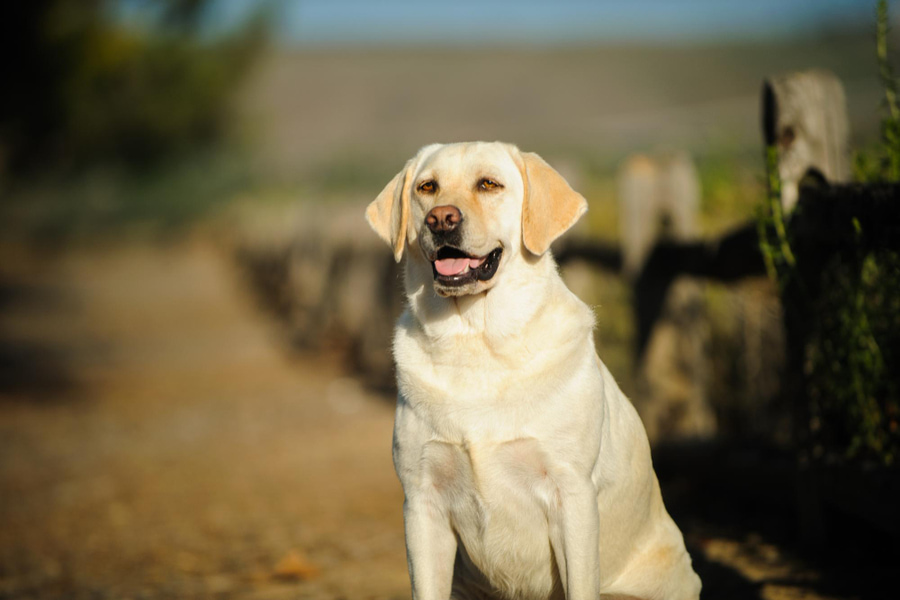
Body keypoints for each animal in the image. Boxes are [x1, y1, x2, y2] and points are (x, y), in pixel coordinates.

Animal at [366, 142, 704, 600]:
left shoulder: (572, 495)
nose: (441, 218)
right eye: (427, 187)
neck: (477, 342)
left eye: (489, 184)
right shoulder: (422, 500)